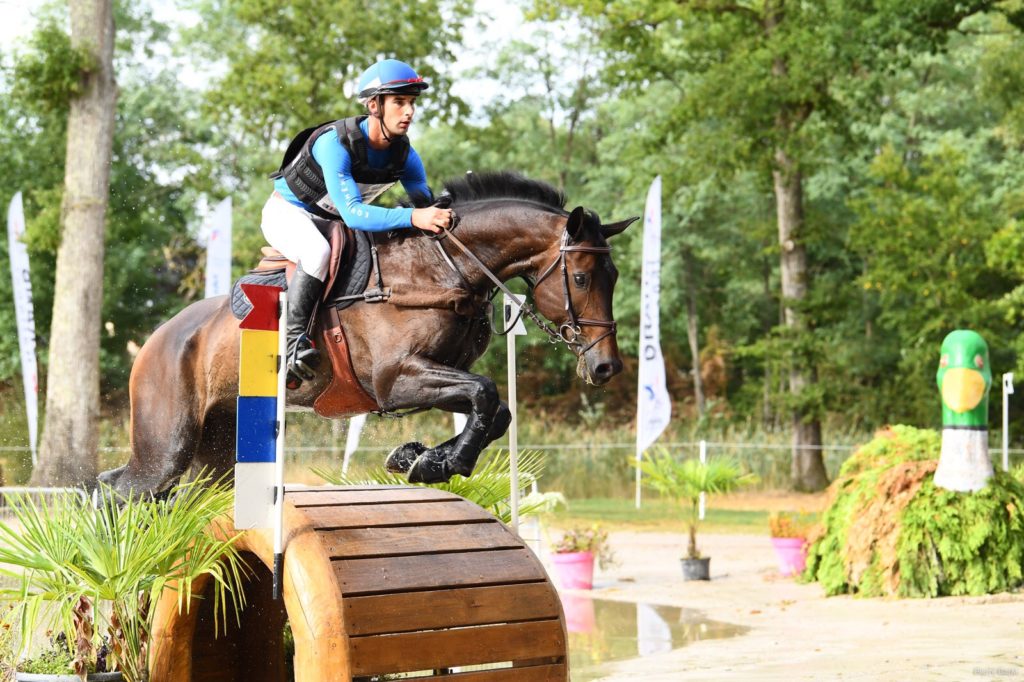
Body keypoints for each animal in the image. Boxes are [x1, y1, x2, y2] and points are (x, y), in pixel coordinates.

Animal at [99, 171, 634, 493]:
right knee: (121, 490)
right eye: (581, 278)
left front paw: (417, 458)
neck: (444, 266)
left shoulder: (437, 373)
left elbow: (495, 410)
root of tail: (153, 341)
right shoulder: (394, 380)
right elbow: (485, 393)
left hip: (217, 449)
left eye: (615, 277)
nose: (606, 366)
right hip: (167, 447)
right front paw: (440, 463)